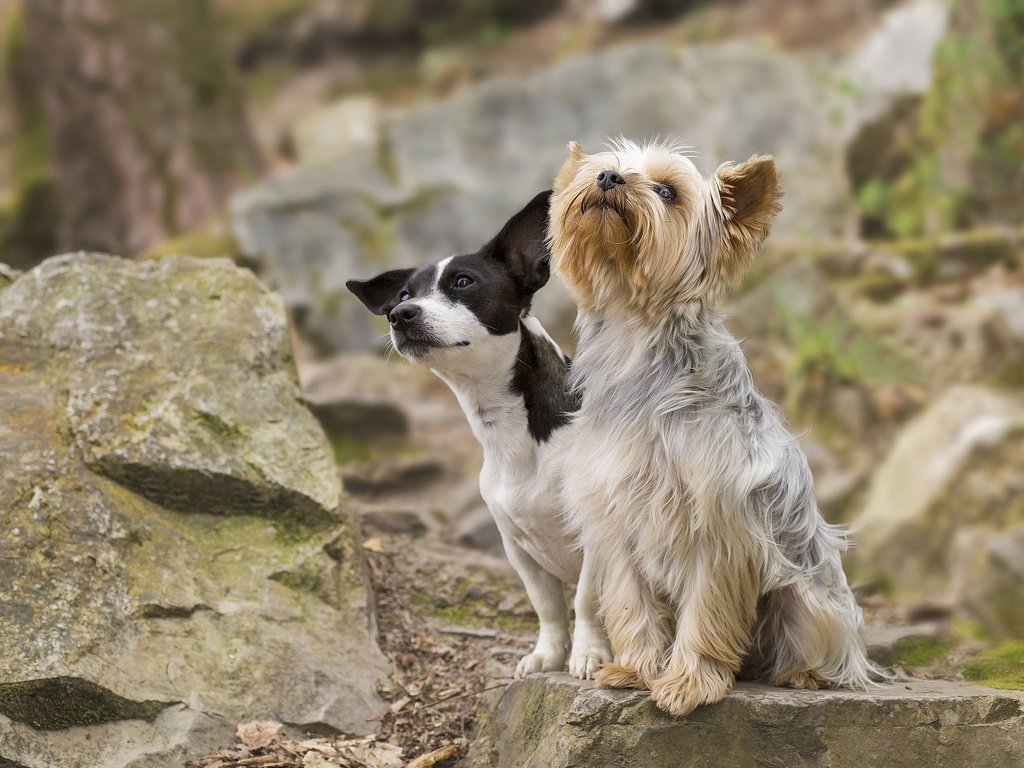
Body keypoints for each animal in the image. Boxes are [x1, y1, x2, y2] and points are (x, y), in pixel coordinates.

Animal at [348, 192, 610, 679]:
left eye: (463, 282)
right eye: (404, 294)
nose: (400, 314)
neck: (510, 431)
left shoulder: (597, 538)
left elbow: (586, 601)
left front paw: (588, 654)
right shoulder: (519, 551)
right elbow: (548, 607)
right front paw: (548, 655)